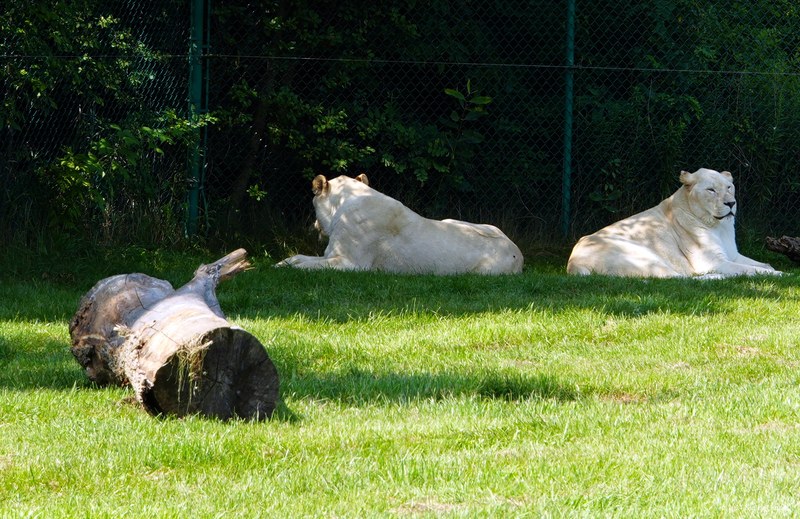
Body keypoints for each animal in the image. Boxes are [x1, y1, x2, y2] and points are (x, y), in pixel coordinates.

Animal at [276, 174, 524, 274]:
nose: (314, 226)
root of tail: (518, 253)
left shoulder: (350, 264)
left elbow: (306, 266)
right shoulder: (331, 255)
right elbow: (299, 257)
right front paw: (280, 264)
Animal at [566, 168, 780, 278]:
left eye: (729, 187)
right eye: (711, 190)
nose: (731, 203)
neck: (719, 227)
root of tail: (573, 264)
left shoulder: (732, 255)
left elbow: (764, 264)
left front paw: (773, 269)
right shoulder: (712, 261)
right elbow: (749, 269)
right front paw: (780, 275)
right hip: (644, 257)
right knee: (680, 278)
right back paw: (717, 277)